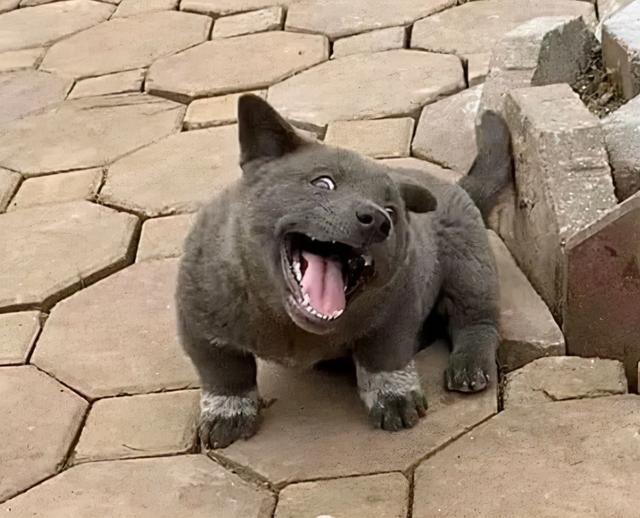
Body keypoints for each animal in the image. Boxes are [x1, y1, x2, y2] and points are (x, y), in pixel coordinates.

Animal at [176, 94, 512, 449]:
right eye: (323, 183)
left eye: (392, 210)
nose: (378, 220)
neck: (291, 327)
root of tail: (457, 187)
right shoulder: (199, 325)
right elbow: (226, 374)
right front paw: (228, 415)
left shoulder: (396, 312)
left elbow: (384, 356)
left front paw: (394, 398)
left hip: (471, 268)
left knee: (477, 322)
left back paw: (468, 366)